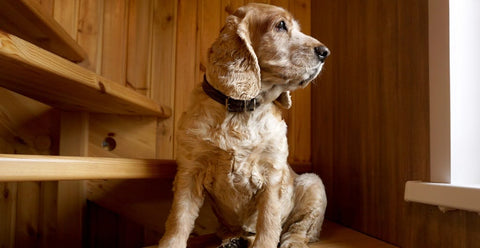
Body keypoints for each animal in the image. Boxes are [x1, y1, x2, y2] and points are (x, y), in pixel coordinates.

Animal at [159, 3, 328, 248]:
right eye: (281, 25)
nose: (325, 52)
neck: (242, 109)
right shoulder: (190, 169)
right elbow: (179, 218)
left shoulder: (272, 173)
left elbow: (268, 222)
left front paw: (265, 243)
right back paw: (233, 239)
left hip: (313, 182)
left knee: (301, 228)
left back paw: (293, 241)